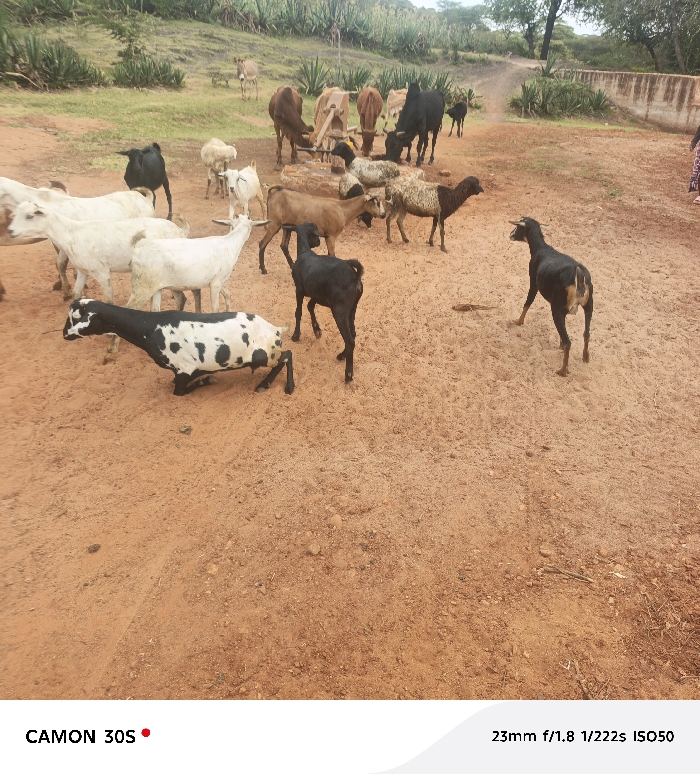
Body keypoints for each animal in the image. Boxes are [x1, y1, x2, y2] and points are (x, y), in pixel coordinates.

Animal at [8, 201, 188, 304]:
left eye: (29, 216)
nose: (10, 231)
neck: (71, 234)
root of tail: (179, 230)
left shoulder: (101, 271)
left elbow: (109, 301)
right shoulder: (82, 271)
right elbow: (76, 293)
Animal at [64, 299, 293, 396]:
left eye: (75, 317)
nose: (64, 334)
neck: (150, 327)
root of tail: (275, 329)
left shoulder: (184, 370)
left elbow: (179, 391)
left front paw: (206, 381)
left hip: (265, 355)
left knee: (286, 355)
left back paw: (276, 386)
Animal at [284, 222, 363, 383]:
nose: (318, 242)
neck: (305, 252)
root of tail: (354, 275)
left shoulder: (299, 289)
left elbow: (298, 312)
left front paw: (296, 335)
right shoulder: (316, 293)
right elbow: (310, 306)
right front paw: (317, 330)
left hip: (339, 311)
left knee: (349, 340)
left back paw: (348, 374)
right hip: (352, 309)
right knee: (353, 334)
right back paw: (342, 355)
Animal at [509, 217, 593, 377]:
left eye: (518, 226)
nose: (510, 235)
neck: (542, 249)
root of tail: (578, 276)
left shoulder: (533, 284)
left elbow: (527, 302)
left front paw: (518, 321)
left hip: (556, 309)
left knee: (569, 342)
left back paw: (563, 370)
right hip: (588, 307)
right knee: (586, 333)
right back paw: (585, 357)